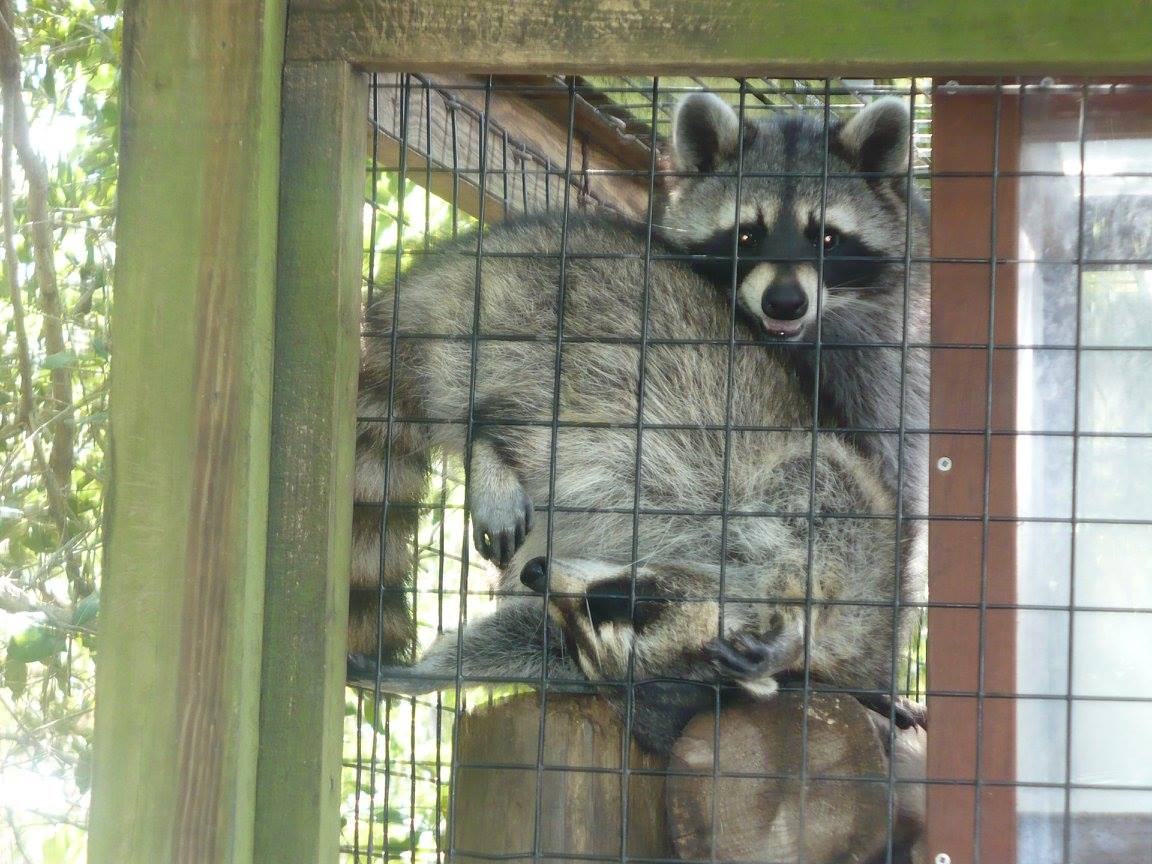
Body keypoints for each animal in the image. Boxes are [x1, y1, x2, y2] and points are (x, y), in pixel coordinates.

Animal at [350, 213, 916, 751]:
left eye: (593, 632)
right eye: (632, 599)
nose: (537, 573)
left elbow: (530, 636)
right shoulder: (838, 511)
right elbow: (820, 500)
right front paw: (800, 618)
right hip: (546, 314)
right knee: (539, 413)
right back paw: (489, 442)